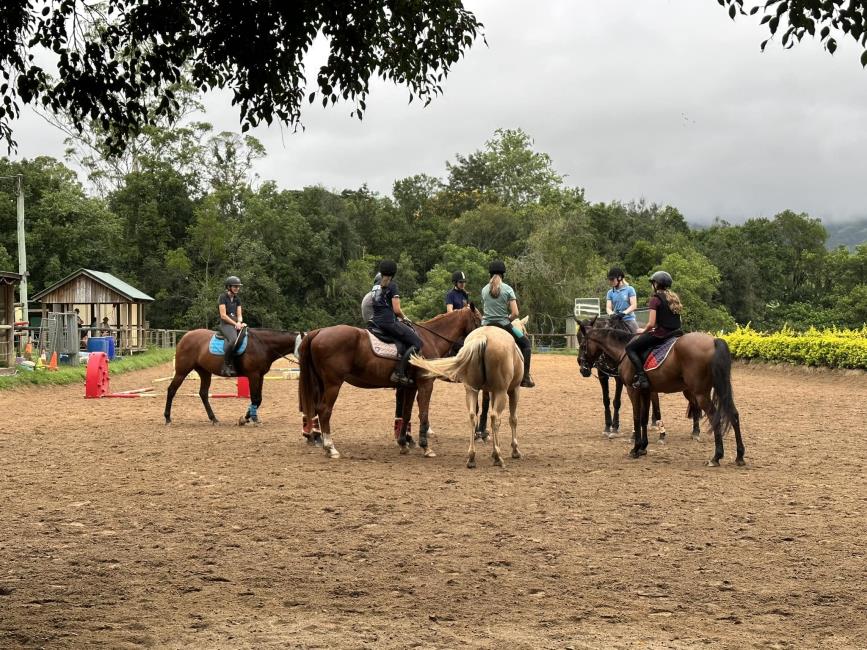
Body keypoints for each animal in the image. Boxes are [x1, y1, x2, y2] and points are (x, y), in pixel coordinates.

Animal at [164, 324, 304, 426]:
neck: (262, 344)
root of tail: (185, 337)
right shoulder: (253, 375)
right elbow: (255, 398)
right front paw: (250, 419)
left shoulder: (261, 376)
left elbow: (258, 399)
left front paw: (246, 418)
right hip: (182, 372)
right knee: (171, 390)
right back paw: (167, 418)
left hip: (204, 372)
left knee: (203, 393)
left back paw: (214, 419)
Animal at [294, 306, 478, 458]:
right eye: (478, 319)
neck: (430, 338)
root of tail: (318, 332)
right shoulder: (425, 384)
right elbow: (423, 413)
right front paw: (426, 447)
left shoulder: (410, 386)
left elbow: (406, 413)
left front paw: (403, 444)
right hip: (333, 384)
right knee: (325, 411)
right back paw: (330, 448)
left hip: (320, 384)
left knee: (318, 409)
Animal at [408, 318, 524, 466]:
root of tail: (483, 337)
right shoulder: (513, 390)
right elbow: (512, 419)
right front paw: (513, 450)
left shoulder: (491, 391)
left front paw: (488, 443)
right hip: (500, 391)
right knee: (494, 417)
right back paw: (497, 457)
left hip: (471, 390)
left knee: (472, 416)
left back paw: (472, 456)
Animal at [576, 320, 744, 466]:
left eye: (583, 344)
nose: (582, 367)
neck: (623, 349)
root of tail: (713, 340)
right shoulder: (646, 391)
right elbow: (644, 418)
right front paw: (643, 448)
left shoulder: (632, 390)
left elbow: (637, 417)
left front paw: (635, 448)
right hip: (717, 389)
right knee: (733, 414)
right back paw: (739, 456)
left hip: (700, 393)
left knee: (714, 416)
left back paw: (716, 456)